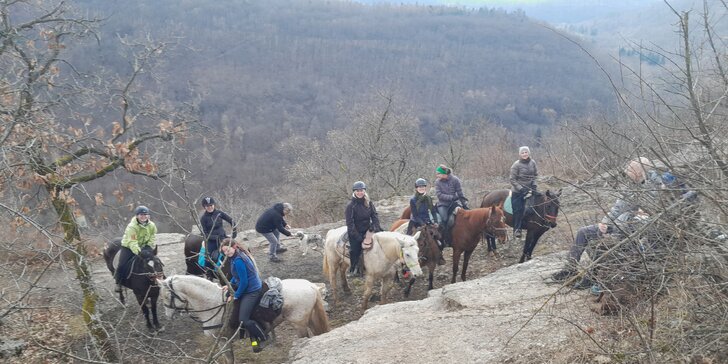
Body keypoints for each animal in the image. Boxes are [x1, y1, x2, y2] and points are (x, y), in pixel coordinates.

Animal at [161, 276, 332, 342]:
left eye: (165, 296)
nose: (168, 315)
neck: (212, 303)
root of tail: (310, 285)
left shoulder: (222, 341)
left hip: (299, 324)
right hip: (309, 319)